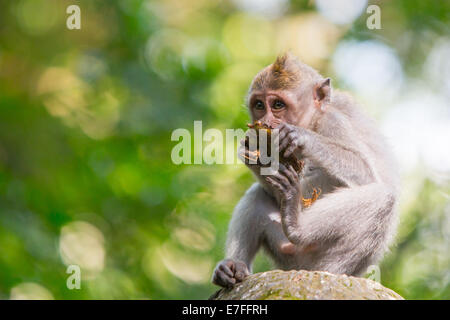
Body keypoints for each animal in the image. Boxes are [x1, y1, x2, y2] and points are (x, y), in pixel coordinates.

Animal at [213, 52, 400, 288]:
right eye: (259, 105)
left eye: (277, 105)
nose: (265, 121)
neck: (315, 120)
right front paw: (255, 154)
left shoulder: (333, 121)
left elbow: (366, 172)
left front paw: (299, 136)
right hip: (287, 253)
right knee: (257, 194)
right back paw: (234, 266)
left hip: (320, 255)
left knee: (383, 198)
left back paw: (298, 227)